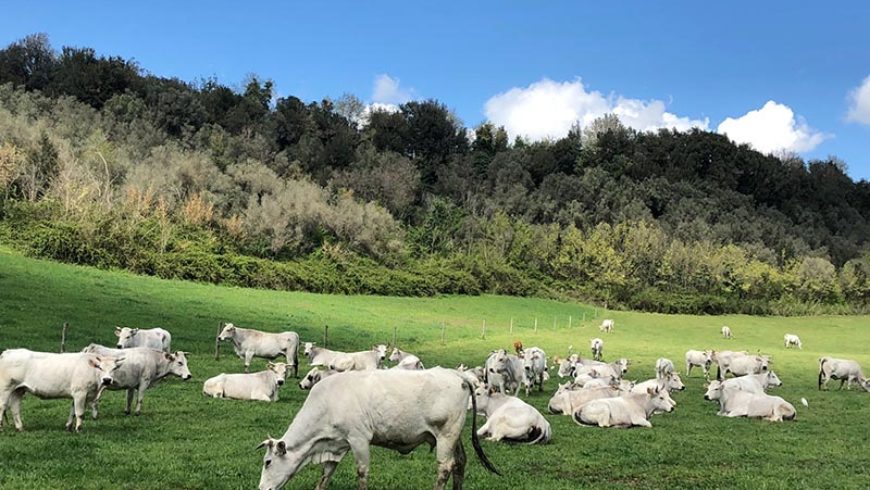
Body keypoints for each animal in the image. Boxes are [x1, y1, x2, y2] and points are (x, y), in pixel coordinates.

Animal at [255, 368, 500, 490]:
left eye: (268, 462)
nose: (261, 488)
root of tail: (458, 375)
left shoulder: (359, 439)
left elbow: (362, 473)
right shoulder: (337, 445)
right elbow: (326, 474)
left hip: (446, 435)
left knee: (445, 468)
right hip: (453, 436)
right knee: (460, 463)